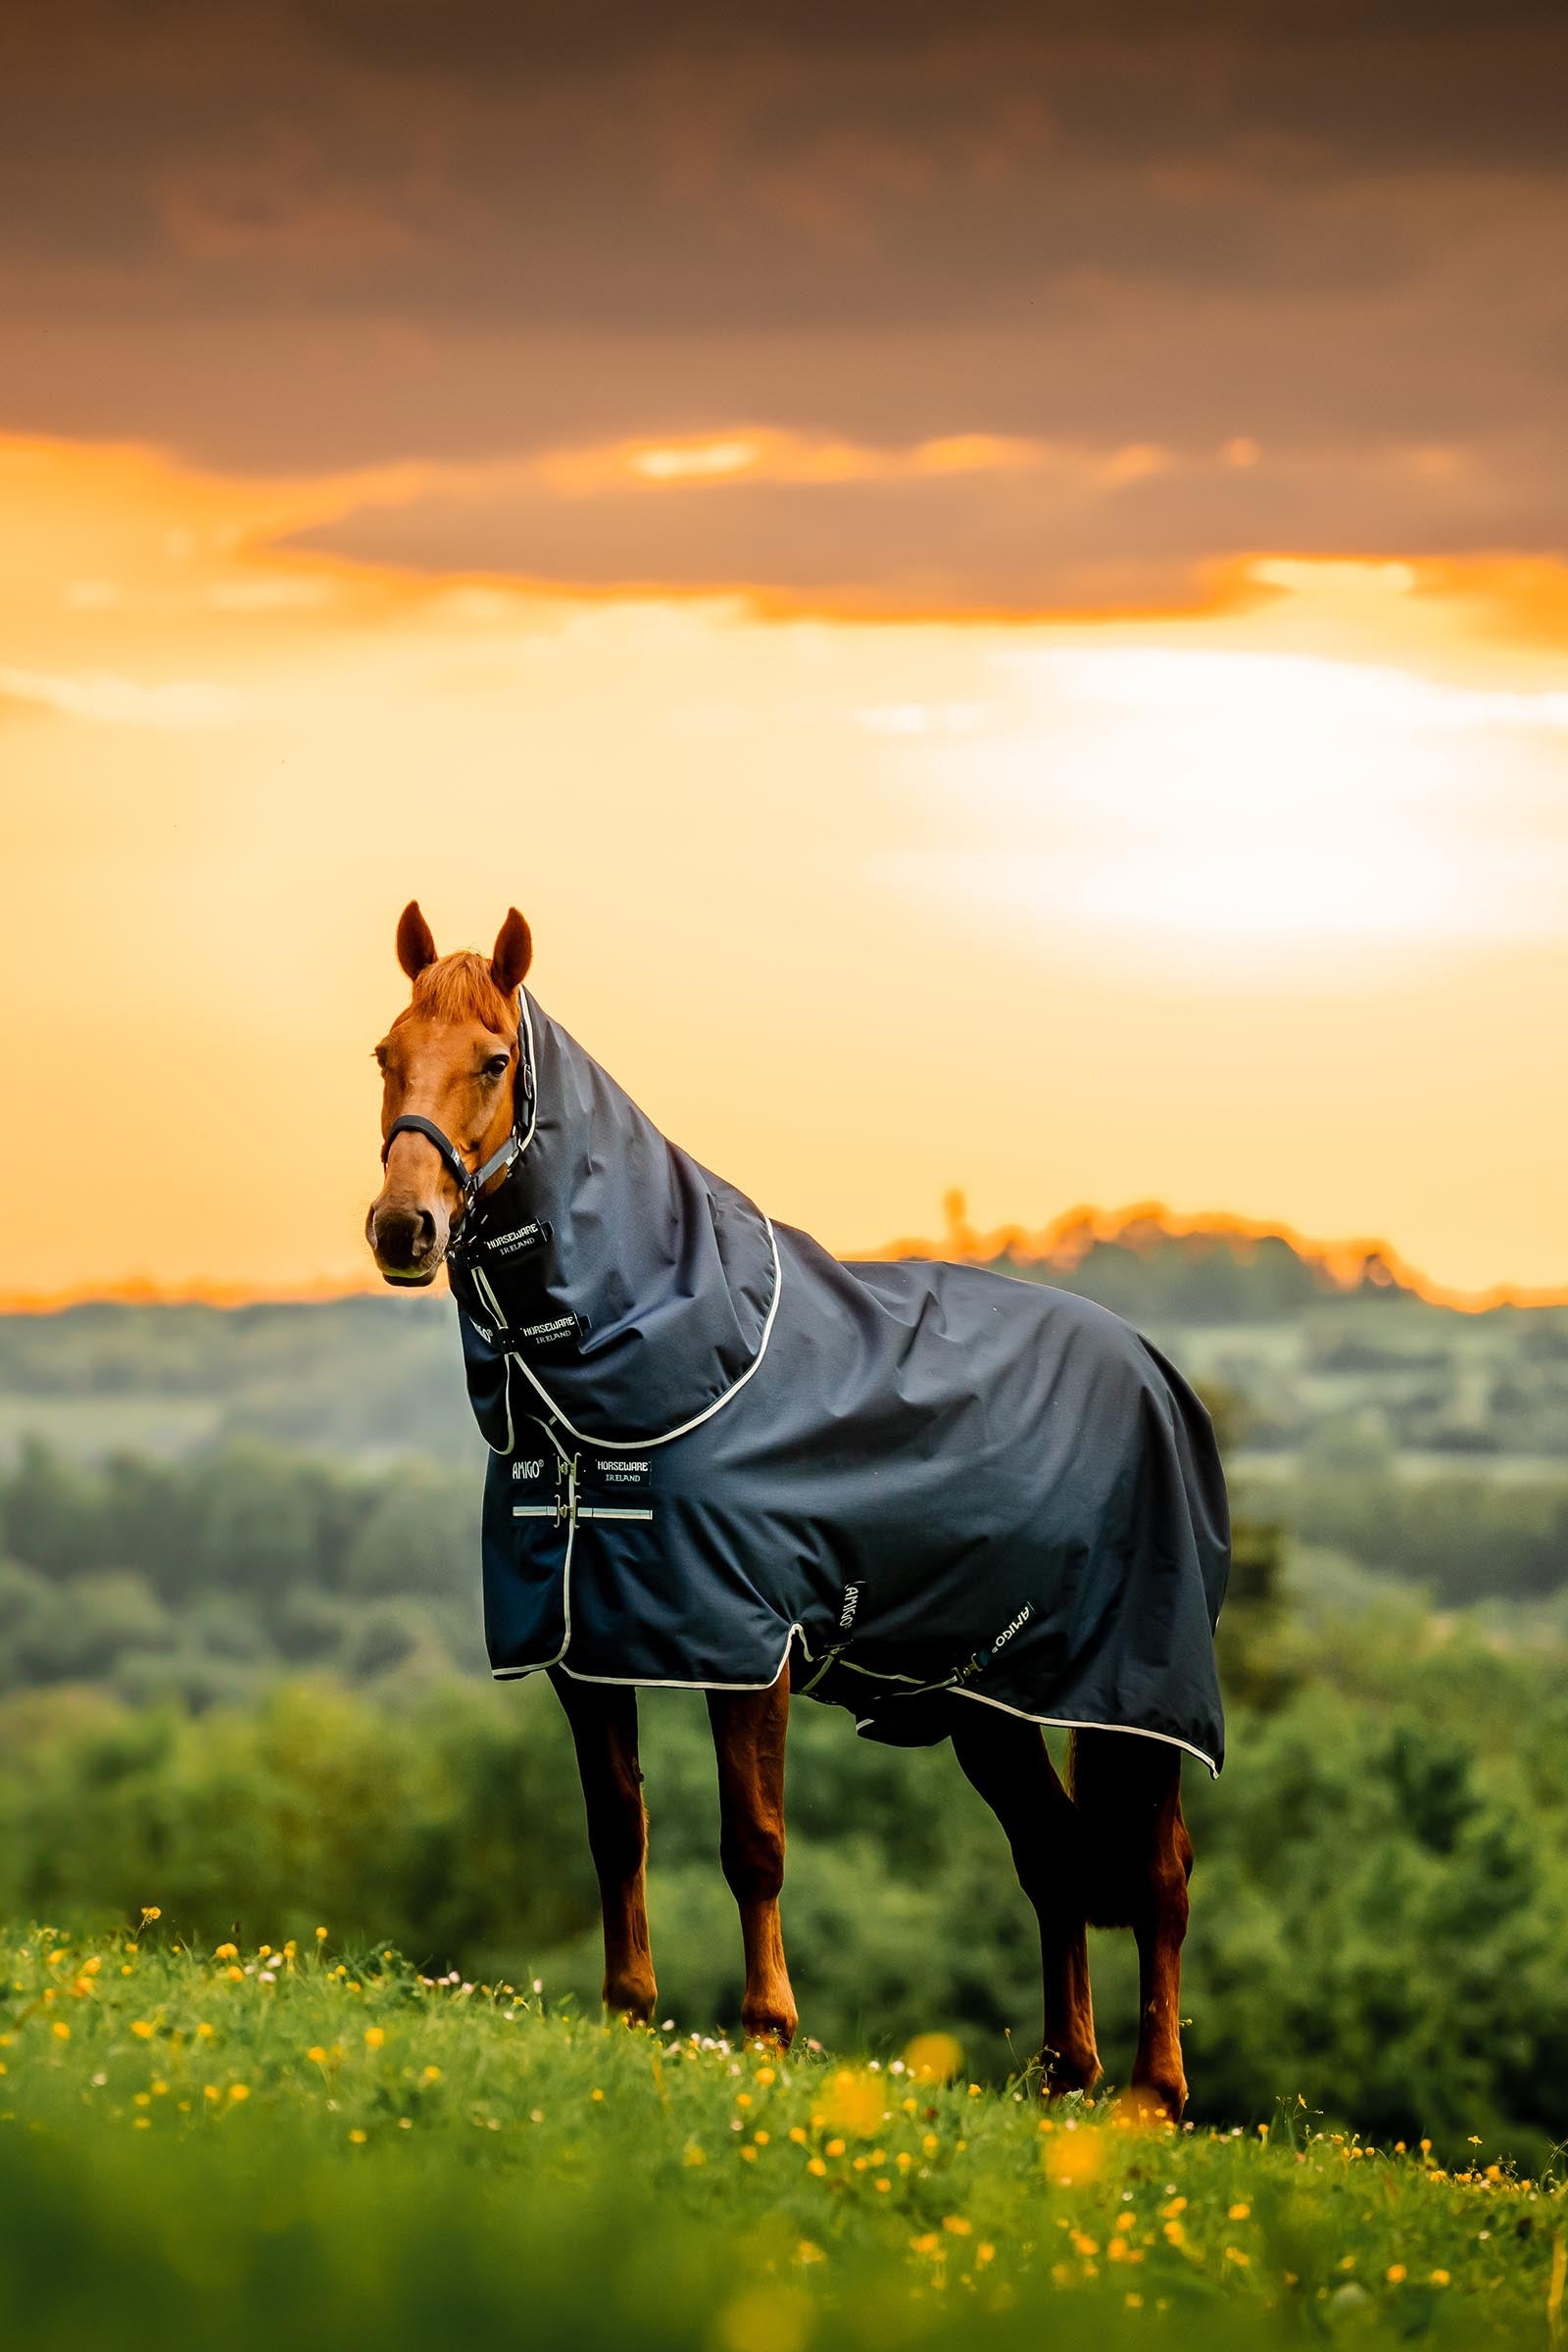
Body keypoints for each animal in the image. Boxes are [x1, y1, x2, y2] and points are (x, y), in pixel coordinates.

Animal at [366, 901, 1229, 2119]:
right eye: (384, 1056)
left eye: (493, 1062)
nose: (403, 1229)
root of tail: (1155, 1372)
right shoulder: (583, 1647)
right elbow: (615, 1828)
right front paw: (627, 2013)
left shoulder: (745, 1645)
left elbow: (754, 1842)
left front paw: (768, 2030)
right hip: (989, 1700)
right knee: (1054, 1856)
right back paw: (1064, 2074)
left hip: (1137, 1695)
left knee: (1159, 1872)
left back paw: (1152, 2094)